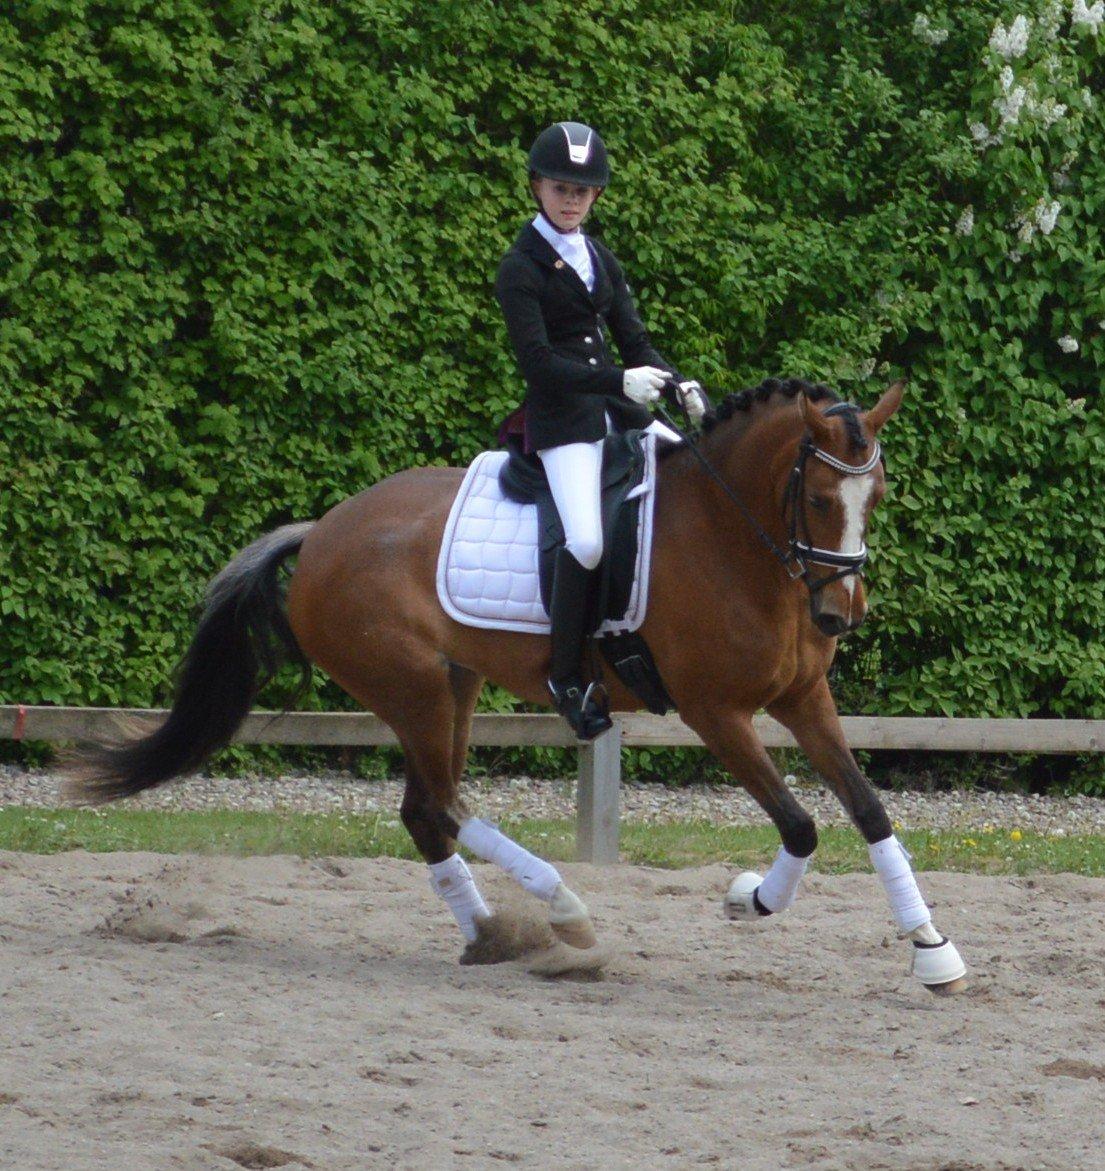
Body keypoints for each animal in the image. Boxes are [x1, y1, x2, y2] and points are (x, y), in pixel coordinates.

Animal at [66, 376, 967, 992]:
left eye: (877, 494)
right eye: (815, 495)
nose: (839, 614)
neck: (732, 537)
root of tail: (322, 530)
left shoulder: (801, 699)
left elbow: (867, 809)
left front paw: (932, 951)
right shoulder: (715, 712)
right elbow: (801, 824)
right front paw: (750, 898)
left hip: (450, 685)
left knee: (424, 811)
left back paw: (495, 935)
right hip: (413, 688)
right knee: (440, 805)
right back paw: (560, 910)